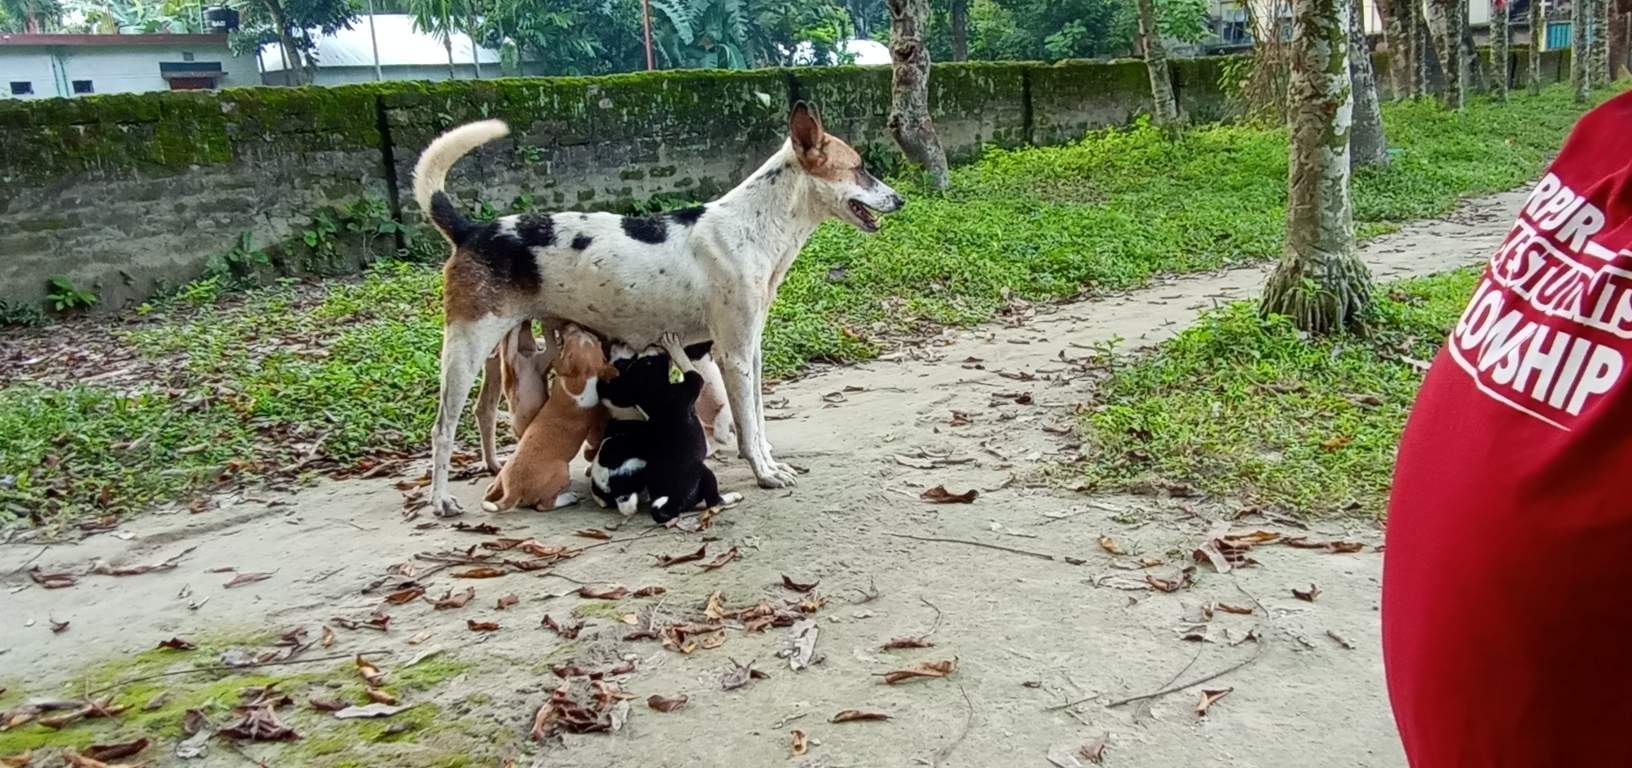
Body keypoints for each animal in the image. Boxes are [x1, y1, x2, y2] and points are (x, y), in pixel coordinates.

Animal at [480, 324, 612, 512]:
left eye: (588, 336)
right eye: (577, 335)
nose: (569, 325)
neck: (584, 376)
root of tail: (513, 490)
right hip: (557, 471)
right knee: (541, 505)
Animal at [590, 333, 739, 522]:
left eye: (632, 360)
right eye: (647, 359)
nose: (652, 345)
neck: (652, 395)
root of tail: (672, 500)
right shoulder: (692, 383)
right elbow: (688, 367)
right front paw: (674, 347)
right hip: (705, 474)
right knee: (714, 501)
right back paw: (731, 497)